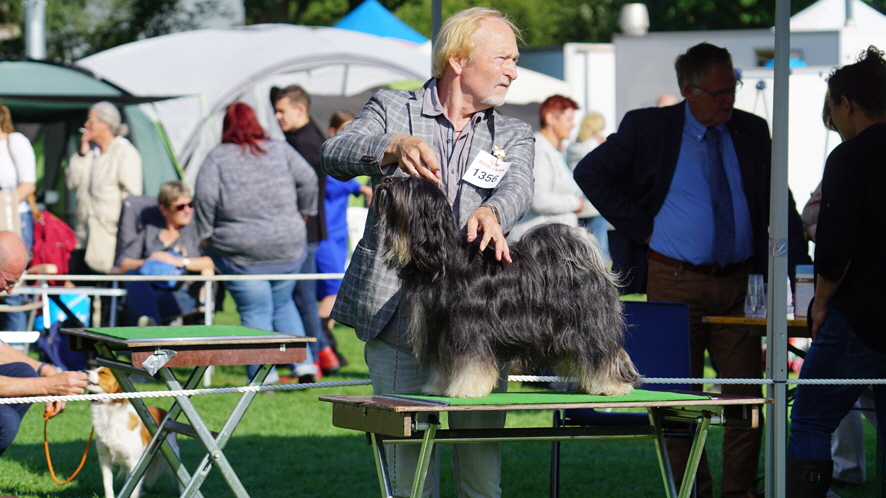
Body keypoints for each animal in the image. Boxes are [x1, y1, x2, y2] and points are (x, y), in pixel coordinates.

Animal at [86, 366, 180, 498]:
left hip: (171, 456)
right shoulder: (104, 459)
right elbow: (108, 486)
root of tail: (165, 413)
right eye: (94, 369)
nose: (84, 372)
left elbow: (133, 491)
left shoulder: (135, 463)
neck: (109, 413)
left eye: (103, 372)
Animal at [374, 175, 640, 396]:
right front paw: (438, 387)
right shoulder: (440, 326)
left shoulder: (469, 324)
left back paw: (612, 385)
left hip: (589, 324)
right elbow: (442, 362)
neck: (443, 259)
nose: (386, 179)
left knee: (604, 353)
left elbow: (471, 361)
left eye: (408, 183)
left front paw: (466, 389)